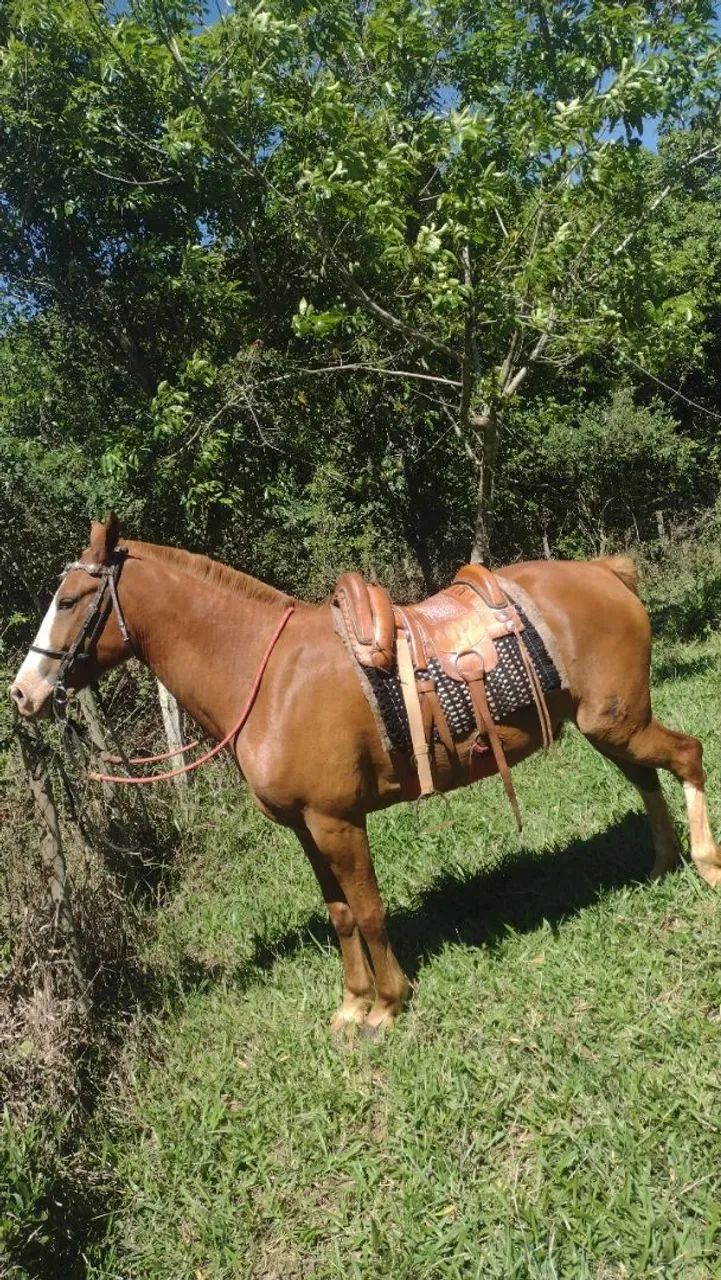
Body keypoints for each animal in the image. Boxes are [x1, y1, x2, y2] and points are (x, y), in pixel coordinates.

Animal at [10, 515, 721, 1033]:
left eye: (68, 599)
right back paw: (660, 864)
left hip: (617, 724)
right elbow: (341, 915)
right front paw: (352, 1004)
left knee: (687, 757)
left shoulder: (338, 821)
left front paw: (388, 1004)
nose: (23, 694)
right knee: (647, 781)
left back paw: (704, 864)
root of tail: (606, 575)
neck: (268, 679)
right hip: (609, 727)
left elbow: (371, 909)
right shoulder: (306, 828)